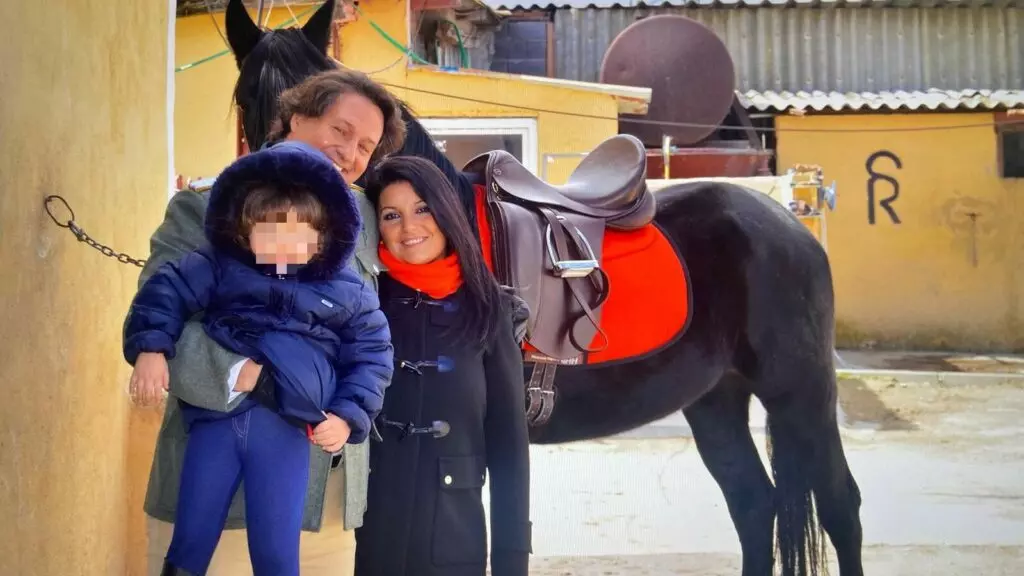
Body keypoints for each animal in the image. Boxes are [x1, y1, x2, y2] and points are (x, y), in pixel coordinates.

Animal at [226, 2, 864, 569]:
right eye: (245, 97)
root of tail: (786, 221)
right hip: (716, 398)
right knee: (754, 506)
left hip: (800, 393)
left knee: (840, 508)